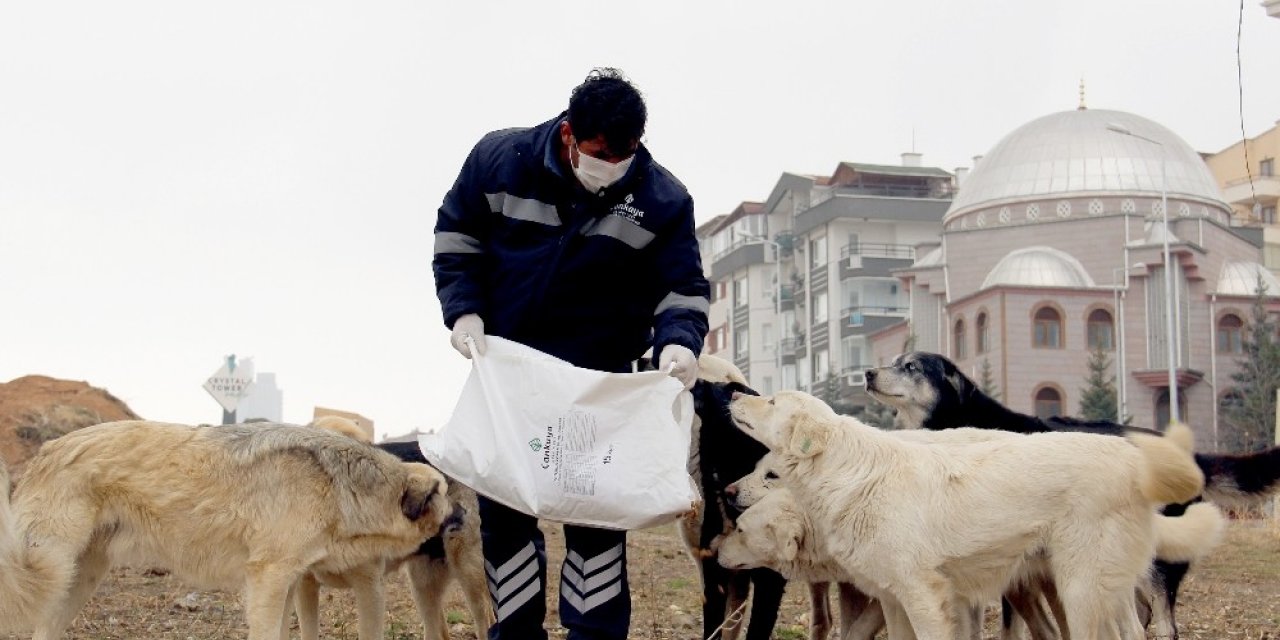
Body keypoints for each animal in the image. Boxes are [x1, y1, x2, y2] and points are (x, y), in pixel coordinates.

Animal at [0, 419, 450, 640]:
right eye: (447, 497)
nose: (460, 518)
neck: (338, 482)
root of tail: (47, 449)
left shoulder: (289, 582)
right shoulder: (269, 579)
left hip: (76, 578)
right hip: (48, 567)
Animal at [732, 389, 1208, 640]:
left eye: (770, 402)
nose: (737, 392)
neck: (851, 476)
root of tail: (1135, 460)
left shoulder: (924, 597)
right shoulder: (893, 599)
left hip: (1080, 590)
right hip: (1096, 589)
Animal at [860, 350, 1280, 640]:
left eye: (911, 366)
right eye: (894, 360)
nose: (866, 372)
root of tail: (1186, 457)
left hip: (1150, 564)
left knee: (1163, 622)